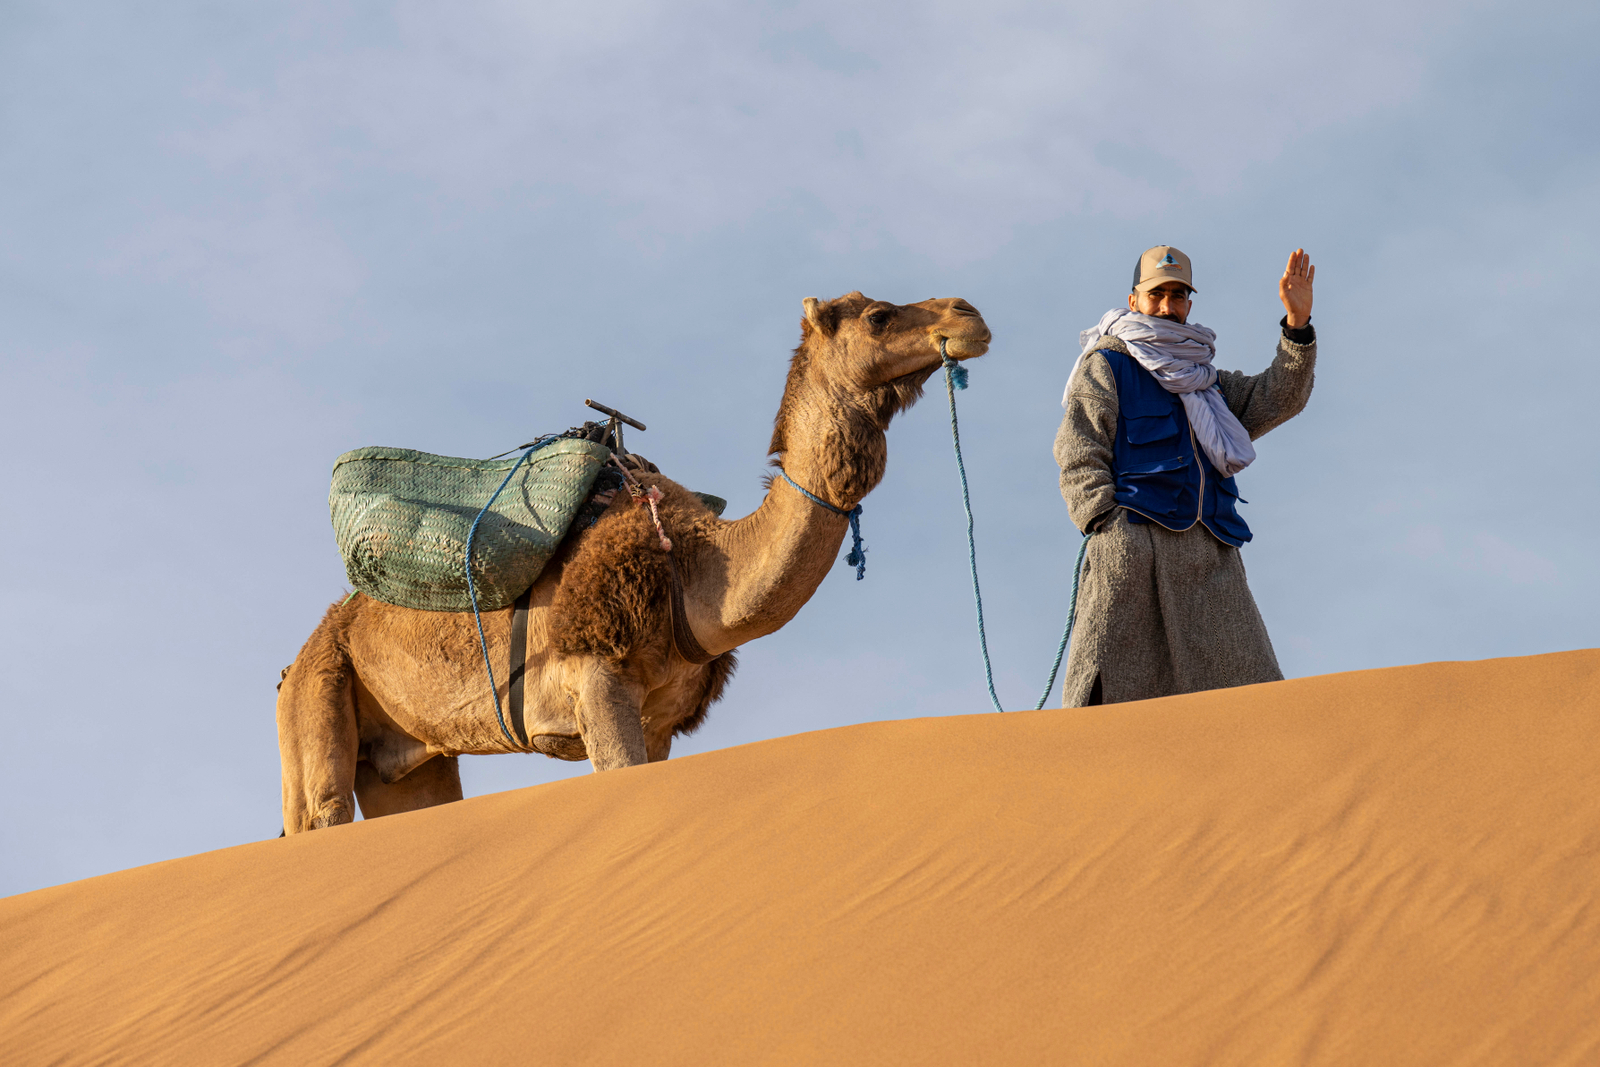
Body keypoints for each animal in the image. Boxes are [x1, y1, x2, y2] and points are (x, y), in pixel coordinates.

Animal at [277, 292, 991, 833]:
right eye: (878, 316)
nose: (969, 315)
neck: (691, 571)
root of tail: (302, 655)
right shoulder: (598, 678)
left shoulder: (663, 720)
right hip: (318, 696)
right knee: (320, 807)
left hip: (405, 756)